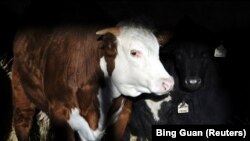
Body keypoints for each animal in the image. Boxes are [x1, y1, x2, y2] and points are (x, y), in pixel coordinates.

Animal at [10, 23, 173, 140]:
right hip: (21, 92)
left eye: (158, 51)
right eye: (134, 52)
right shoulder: (60, 113)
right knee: (22, 121)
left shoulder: (123, 113)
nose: (169, 83)